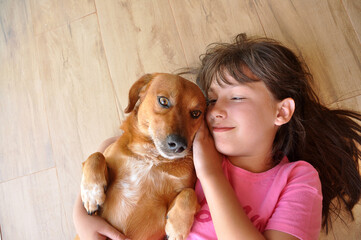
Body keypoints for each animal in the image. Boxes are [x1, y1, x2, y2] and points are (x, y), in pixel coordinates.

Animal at [76, 73, 205, 240]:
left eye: (196, 113)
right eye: (163, 101)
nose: (179, 145)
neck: (151, 157)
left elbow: (190, 193)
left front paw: (177, 228)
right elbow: (96, 156)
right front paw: (92, 194)